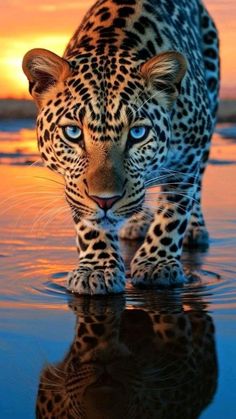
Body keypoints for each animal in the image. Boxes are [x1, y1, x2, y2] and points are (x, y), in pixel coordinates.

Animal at [22, 0, 219, 296]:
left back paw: (194, 229)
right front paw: (97, 268)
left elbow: (175, 207)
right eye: (73, 133)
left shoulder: (192, 148)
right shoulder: (74, 183)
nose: (105, 200)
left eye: (137, 134)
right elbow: (89, 221)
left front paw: (157, 263)